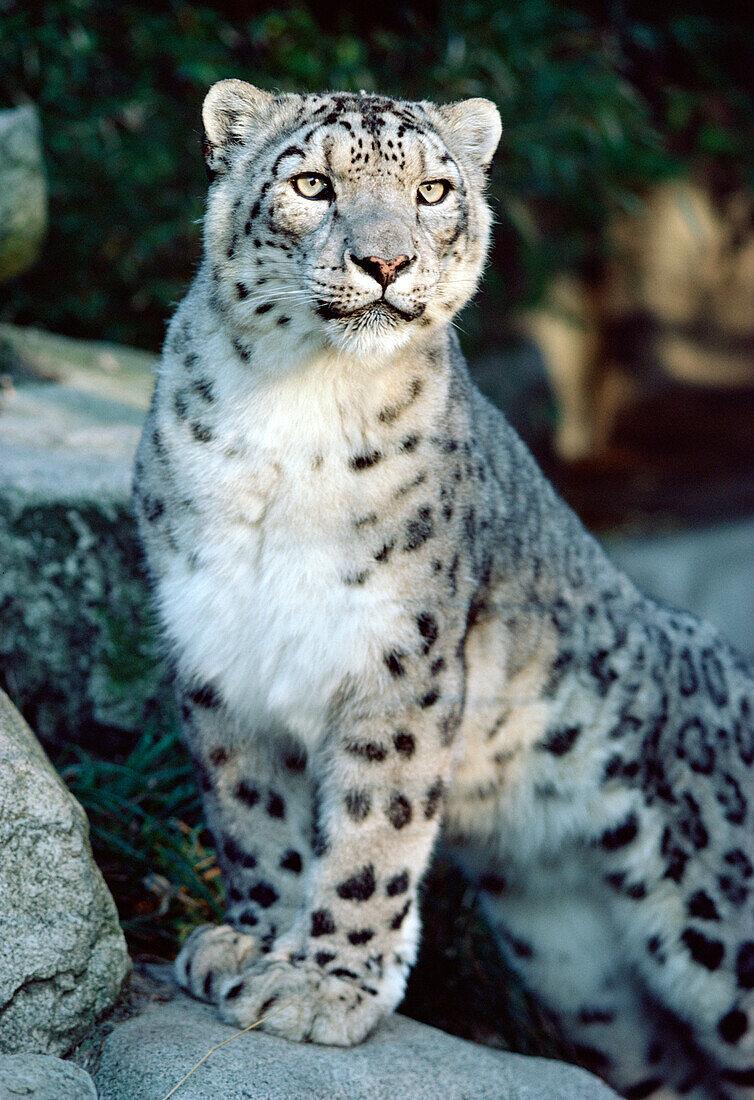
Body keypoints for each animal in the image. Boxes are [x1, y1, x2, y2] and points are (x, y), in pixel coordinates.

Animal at [133, 79, 752, 1100]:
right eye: (311, 183)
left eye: (431, 191)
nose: (385, 261)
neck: (291, 411)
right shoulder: (220, 655)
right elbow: (252, 817)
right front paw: (255, 942)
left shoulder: (400, 661)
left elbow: (371, 835)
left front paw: (323, 987)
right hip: (577, 967)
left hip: (715, 925)